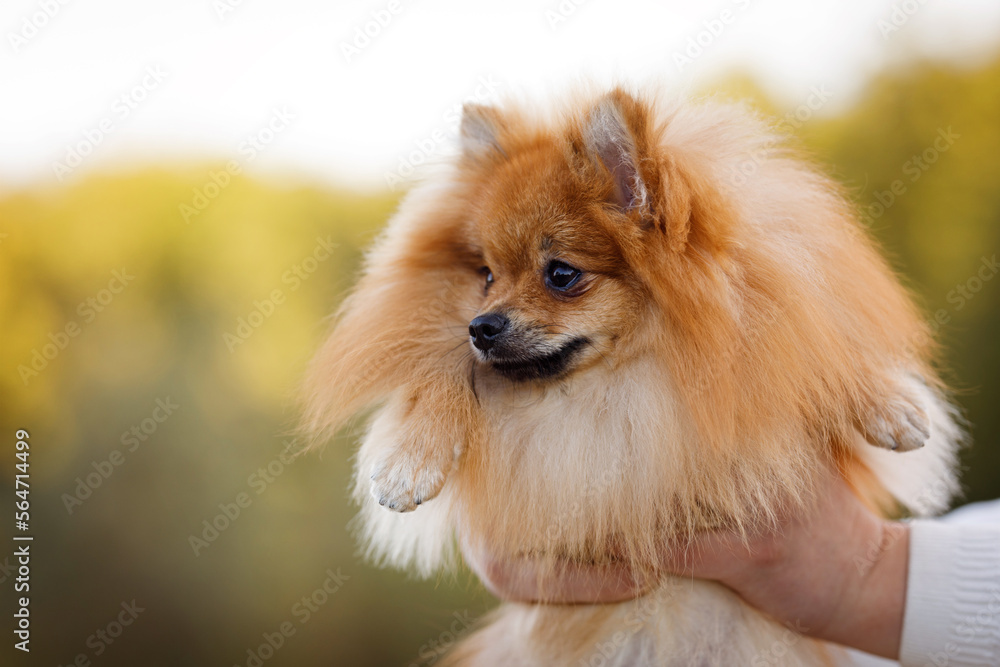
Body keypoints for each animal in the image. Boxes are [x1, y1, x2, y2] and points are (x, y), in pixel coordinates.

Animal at [302, 86, 960, 664]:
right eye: (486, 275)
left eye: (561, 274)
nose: (480, 326)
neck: (626, 370)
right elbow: (437, 376)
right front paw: (407, 462)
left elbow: (820, 355)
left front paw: (892, 405)